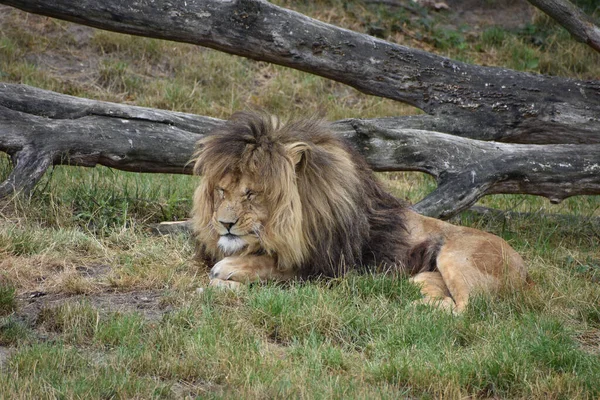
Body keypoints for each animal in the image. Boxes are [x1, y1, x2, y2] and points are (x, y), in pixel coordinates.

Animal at [191, 111, 524, 312]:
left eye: (251, 193)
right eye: (222, 190)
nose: (224, 223)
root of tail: (527, 275)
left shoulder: (332, 272)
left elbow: (276, 269)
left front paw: (227, 272)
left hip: (456, 258)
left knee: (466, 310)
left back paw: (409, 309)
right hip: (422, 277)